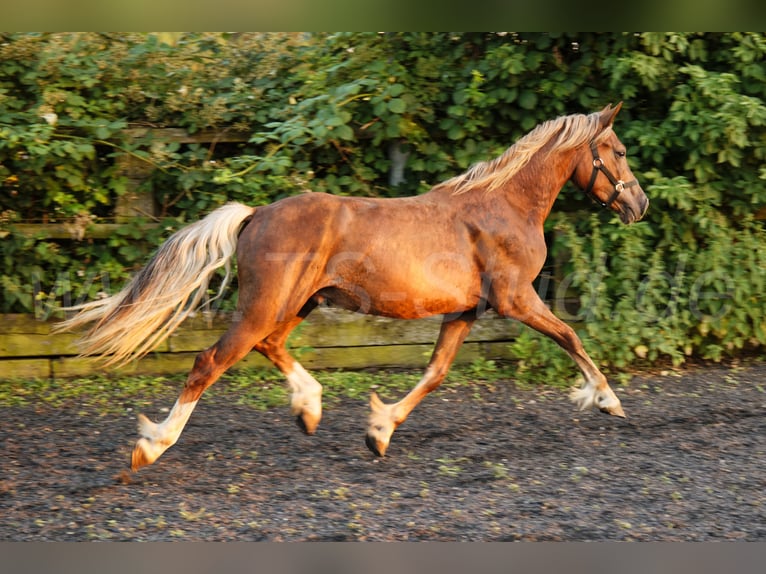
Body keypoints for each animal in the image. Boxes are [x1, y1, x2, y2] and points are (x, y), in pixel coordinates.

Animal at [56, 102, 648, 471]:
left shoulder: (465, 311)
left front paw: (379, 429)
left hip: (298, 304)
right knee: (212, 360)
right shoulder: (515, 299)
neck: (502, 205)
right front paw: (607, 400)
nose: (639, 204)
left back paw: (309, 408)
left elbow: (435, 373)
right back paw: (153, 446)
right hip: (268, 305)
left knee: (269, 346)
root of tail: (255, 214)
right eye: (618, 150)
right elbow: (570, 336)